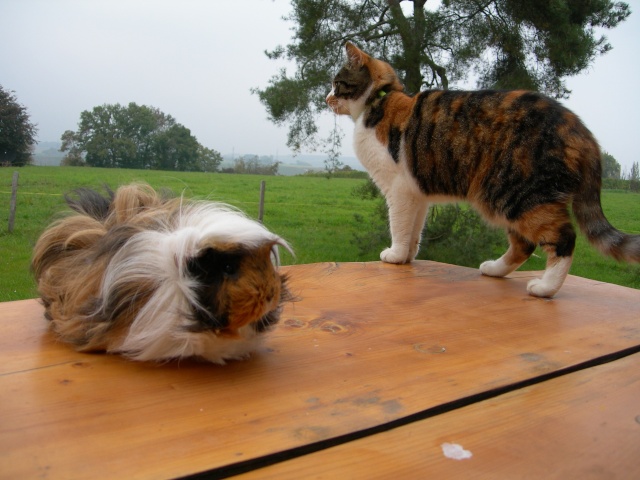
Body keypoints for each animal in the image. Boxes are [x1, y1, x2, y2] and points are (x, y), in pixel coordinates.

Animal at [328, 42, 636, 296]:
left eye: (337, 83)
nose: (326, 98)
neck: (379, 101)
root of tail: (579, 128)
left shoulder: (398, 190)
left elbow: (399, 225)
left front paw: (394, 254)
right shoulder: (417, 195)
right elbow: (414, 230)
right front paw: (407, 257)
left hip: (515, 193)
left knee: (562, 238)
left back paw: (546, 287)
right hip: (509, 198)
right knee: (524, 244)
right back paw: (494, 270)